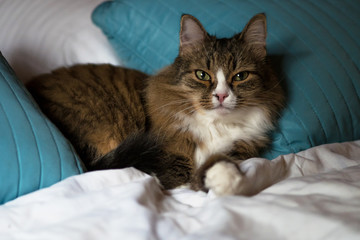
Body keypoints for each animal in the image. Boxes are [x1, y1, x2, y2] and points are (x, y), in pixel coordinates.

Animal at [28, 13, 284, 197]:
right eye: (202, 75)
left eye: (240, 76)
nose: (221, 96)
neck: (216, 126)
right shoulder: (168, 147)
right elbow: (180, 176)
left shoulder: (241, 148)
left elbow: (222, 162)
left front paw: (226, 180)